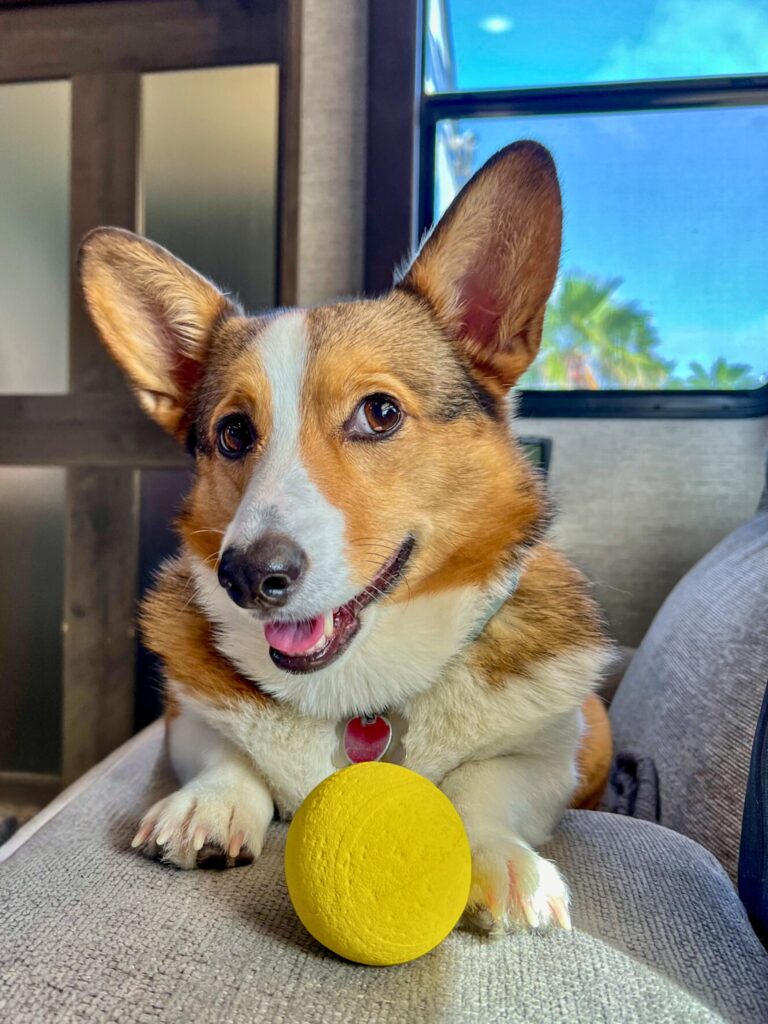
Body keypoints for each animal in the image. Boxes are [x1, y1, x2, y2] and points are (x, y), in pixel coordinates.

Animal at [81, 140, 614, 933]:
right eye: (233, 433)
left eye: (380, 413)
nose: (248, 576)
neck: (360, 688)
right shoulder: (186, 715)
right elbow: (227, 751)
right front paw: (210, 805)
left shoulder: (552, 756)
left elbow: (485, 785)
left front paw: (500, 859)